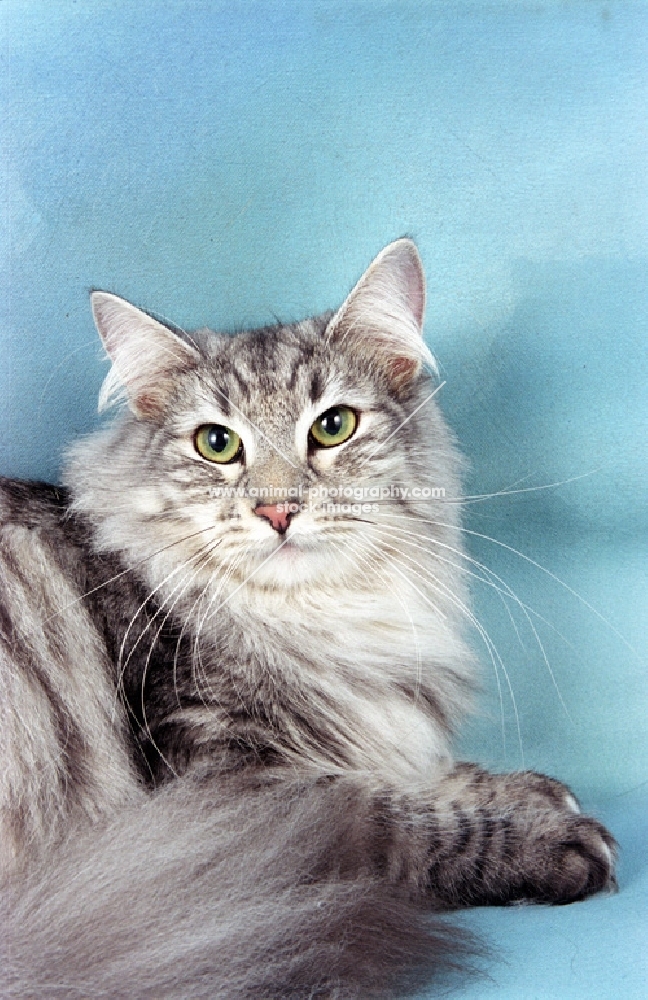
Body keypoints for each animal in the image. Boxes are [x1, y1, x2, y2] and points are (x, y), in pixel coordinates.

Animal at [0, 238, 616, 996]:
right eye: (216, 444)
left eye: (333, 426)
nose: (277, 509)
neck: (322, 615)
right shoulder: (230, 790)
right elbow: (390, 815)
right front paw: (548, 837)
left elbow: (417, 769)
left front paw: (530, 791)